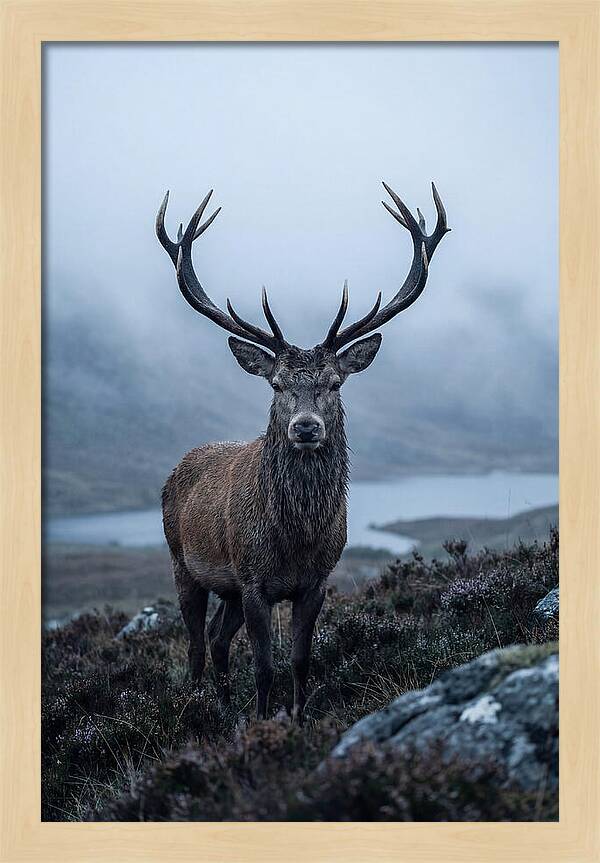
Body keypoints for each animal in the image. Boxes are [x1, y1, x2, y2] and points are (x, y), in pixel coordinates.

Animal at [156, 182, 449, 723]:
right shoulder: (253, 580)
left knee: (217, 638)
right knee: (195, 644)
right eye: (276, 384)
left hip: (226, 587)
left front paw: (295, 717)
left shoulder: (314, 582)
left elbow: (299, 659)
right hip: (183, 563)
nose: (306, 427)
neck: (295, 539)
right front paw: (261, 720)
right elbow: (263, 665)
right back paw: (199, 705)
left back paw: (223, 705)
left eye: (334, 382)